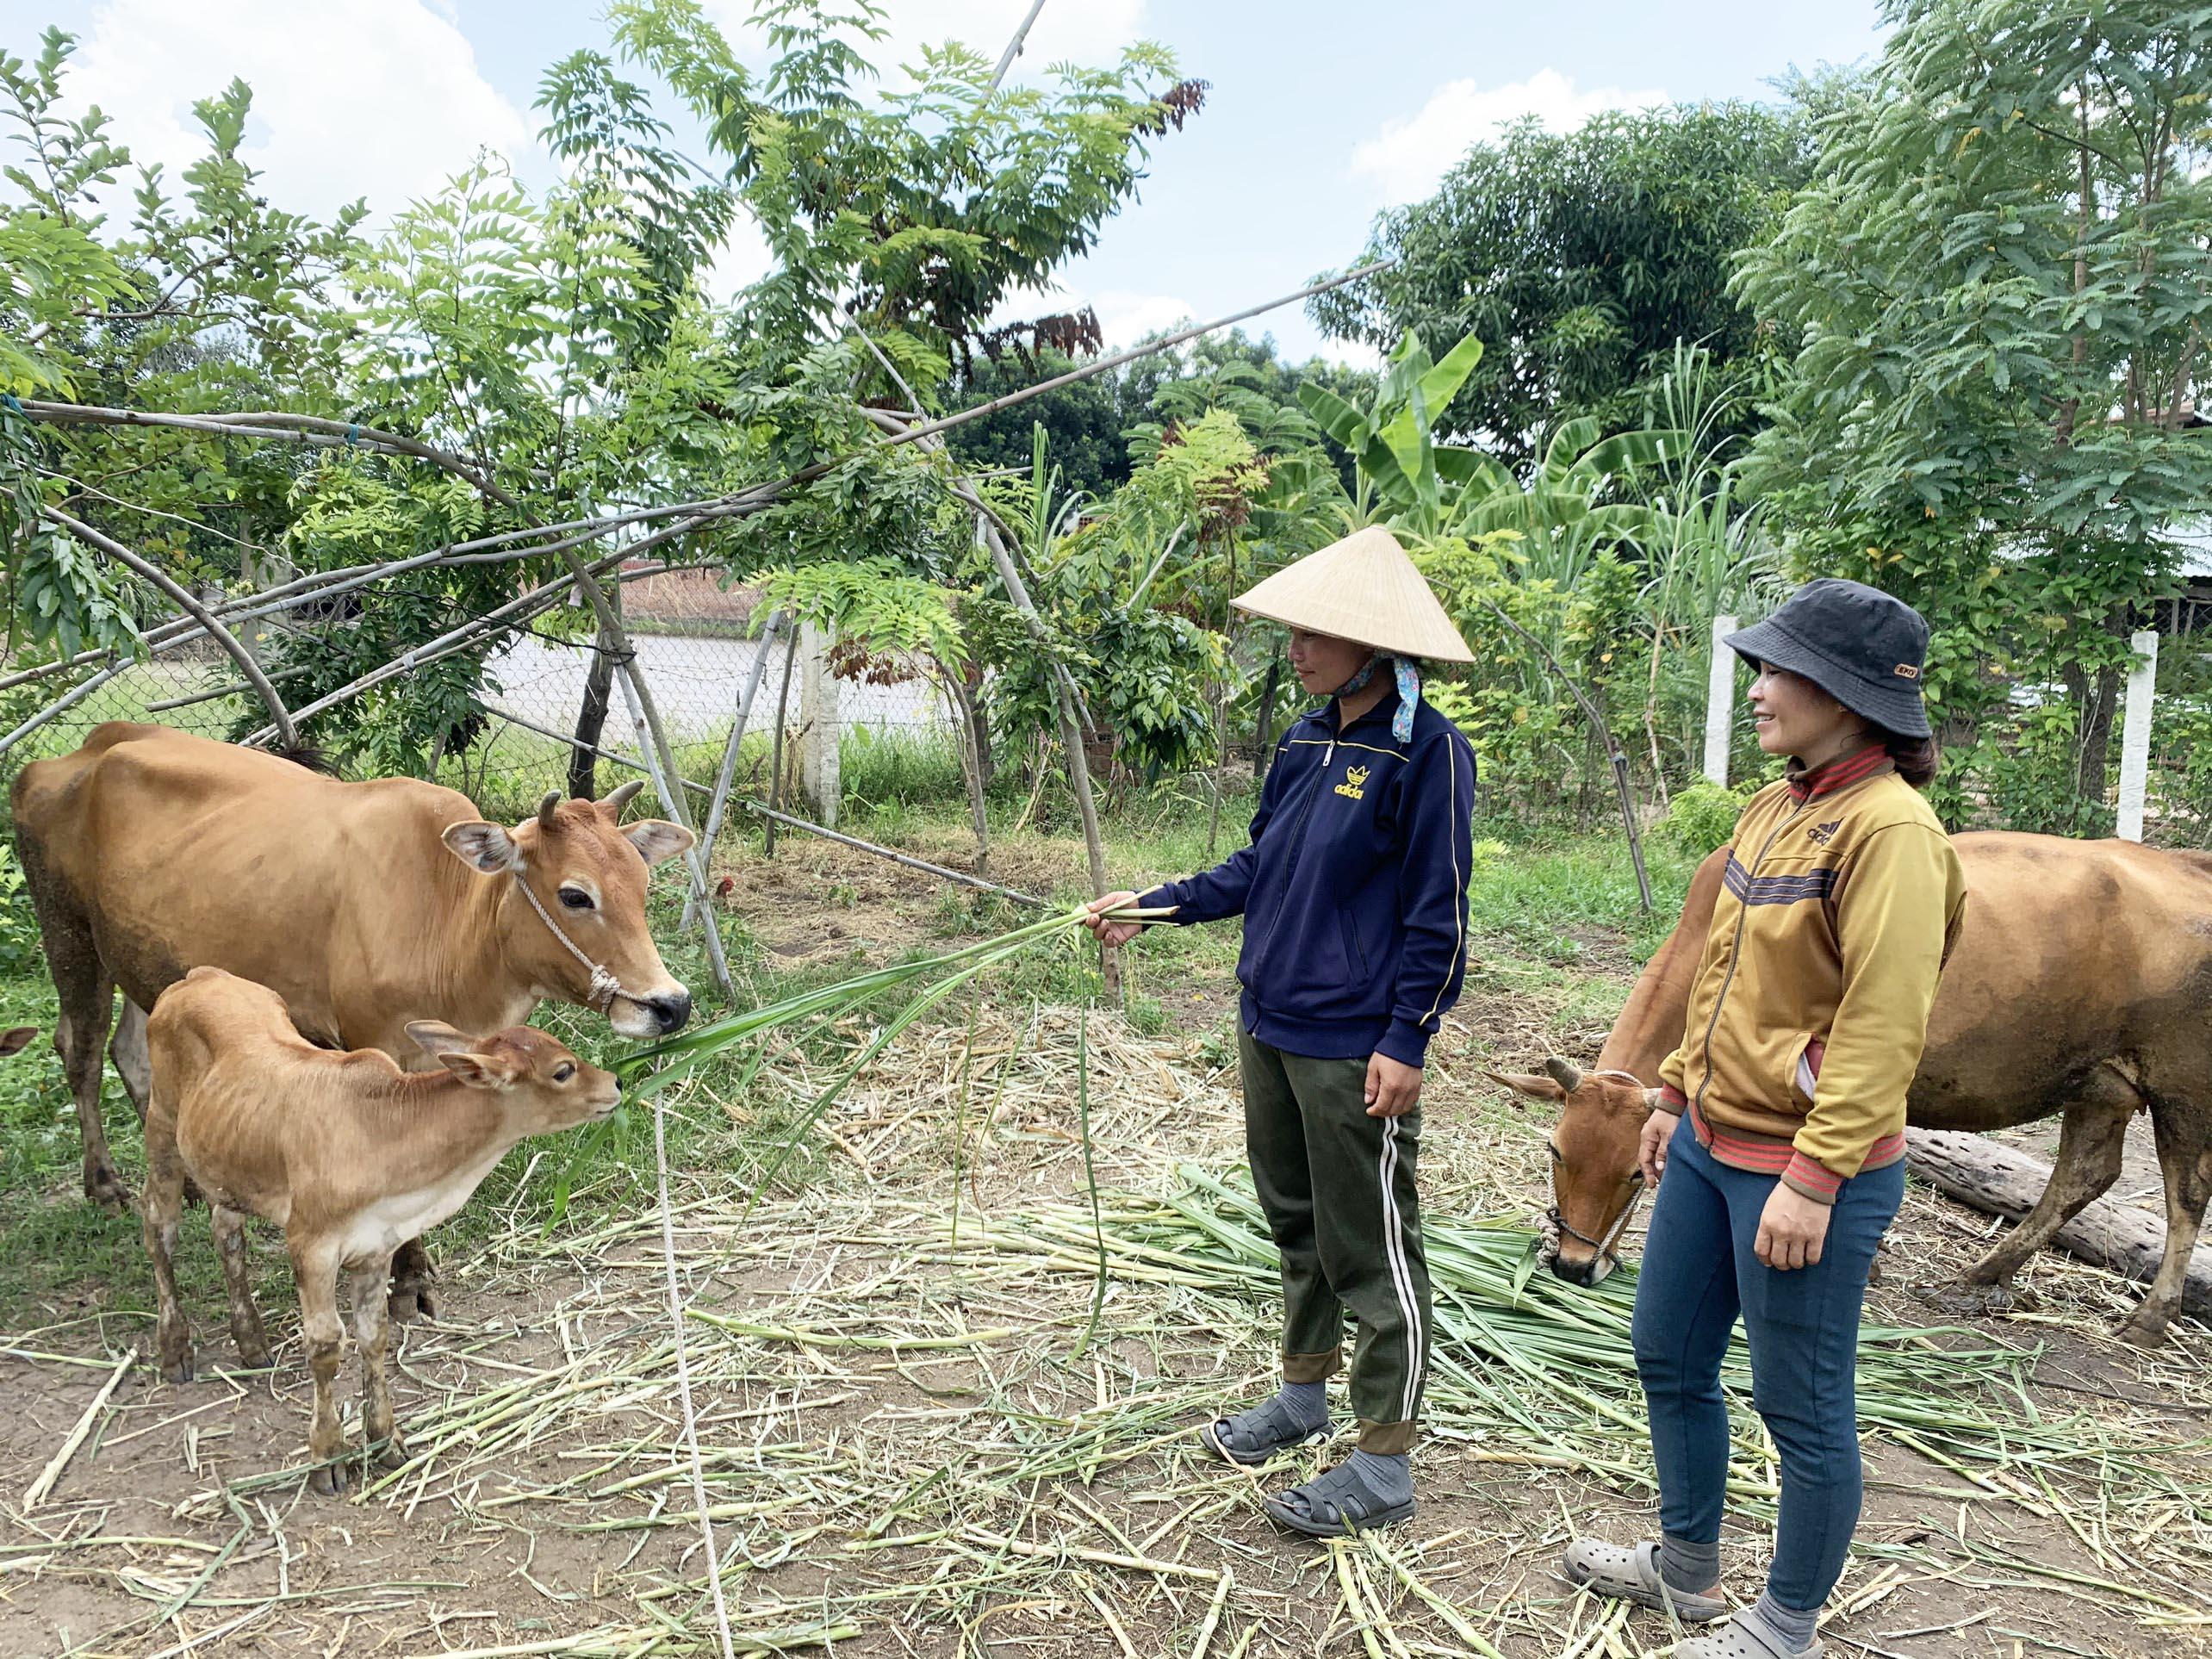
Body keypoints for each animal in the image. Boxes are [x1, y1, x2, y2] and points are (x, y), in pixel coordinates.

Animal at [13, 725, 690, 1327]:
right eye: (575, 895)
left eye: (643, 882)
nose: (671, 1006)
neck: (450, 919)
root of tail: (73, 755)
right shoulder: (375, 1048)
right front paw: (409, 1283)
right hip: (69, 935)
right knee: (79, 1049)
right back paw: (104, 1184)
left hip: (139, 960)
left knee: (133, 1053)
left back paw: (191, 1182)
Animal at [148, 960, 619, 1494]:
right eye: (562, 1070)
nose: (616, 1083)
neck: (381, 1132)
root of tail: (200, 976)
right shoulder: (310, 1244)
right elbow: (325, 1345)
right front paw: (328, 1456)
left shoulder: (375, 1247)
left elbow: (373, 1336)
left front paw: (386, 1441)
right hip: (161, 1128)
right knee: (159, 1230)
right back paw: (174, 1349)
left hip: (226, 1165)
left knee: (226, 1232)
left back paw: (252, 1343)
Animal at [1494, 831, 2212, 1353]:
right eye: (1557, 1153)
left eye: (1636, 1175)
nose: (1572, 1267)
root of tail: (2192, 862)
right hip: (2099, 1085)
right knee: (2084, 1175)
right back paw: (1979, 1277)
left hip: (2182, 1089)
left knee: (2185, 1197)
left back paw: (2150, 1318)